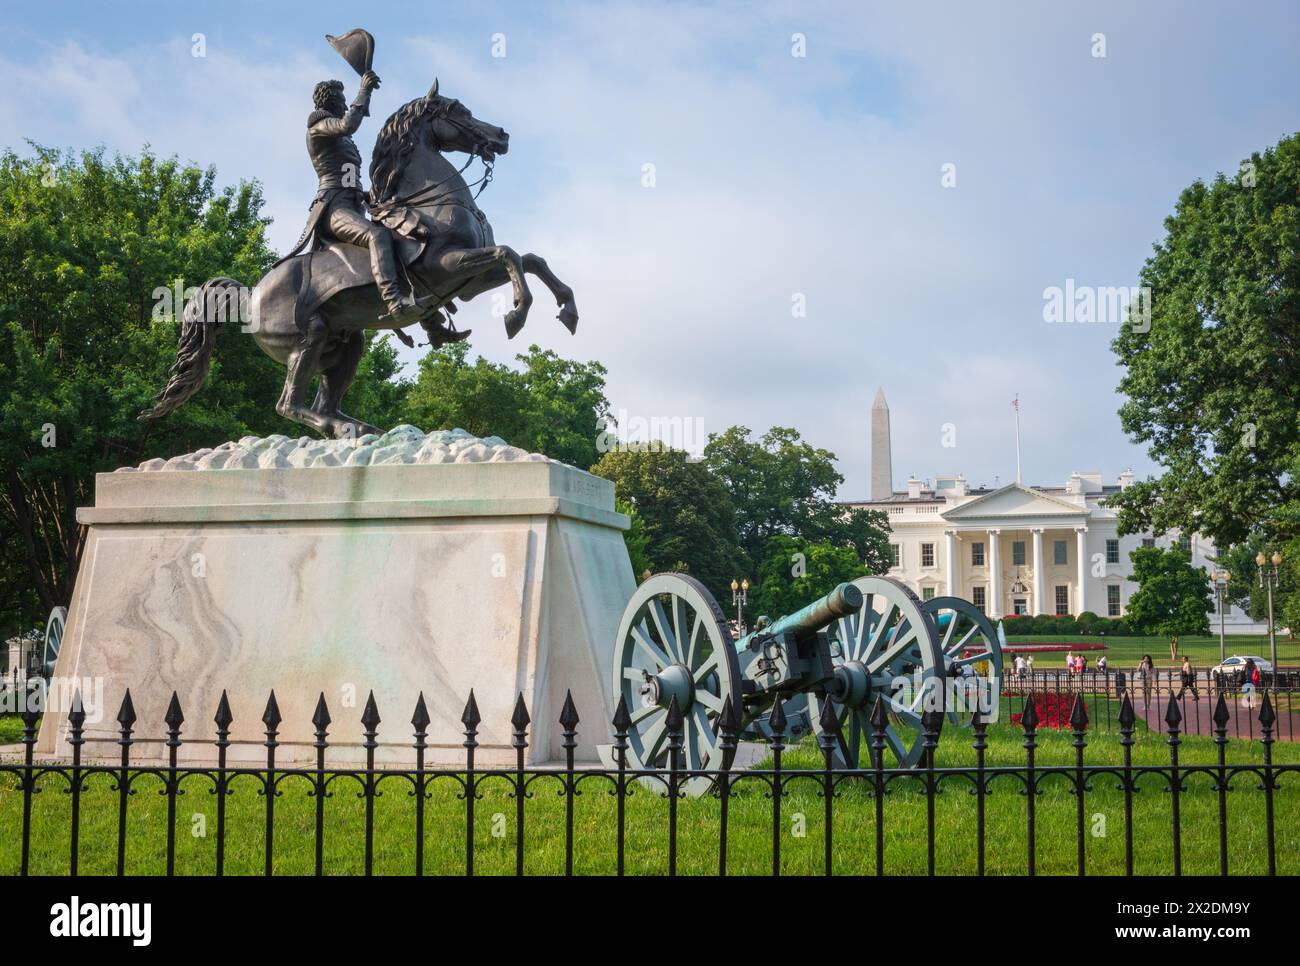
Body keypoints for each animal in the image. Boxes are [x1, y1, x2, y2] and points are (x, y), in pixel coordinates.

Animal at [141, 81, 579, 439]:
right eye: (458, 110)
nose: (501, 135)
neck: (433, 203)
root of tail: (248, 296)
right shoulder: (448, 266)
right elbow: (509, 255)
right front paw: (516, 314)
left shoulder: (468, 282)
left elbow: (531, 259)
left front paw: (568, 309)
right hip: (309, 337)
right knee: (290, 404)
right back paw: (344, 428)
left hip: (347, 344)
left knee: (325, 401)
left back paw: (363, 428)